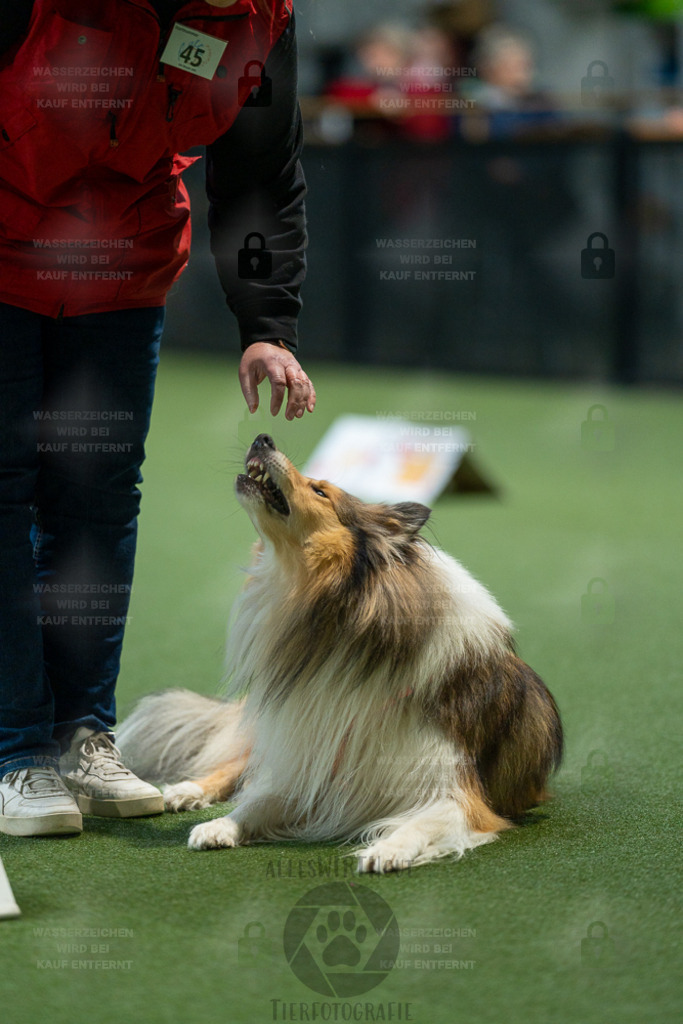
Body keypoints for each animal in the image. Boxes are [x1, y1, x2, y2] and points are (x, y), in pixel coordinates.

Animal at [117, 432, 565, 872]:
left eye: (320, 491)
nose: (263, 438)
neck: (342, 623)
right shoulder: (309, 756)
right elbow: (258, 802)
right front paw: (220, 826)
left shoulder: (458, 794)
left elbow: (422, 823)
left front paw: (388, 849)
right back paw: (187, 790)